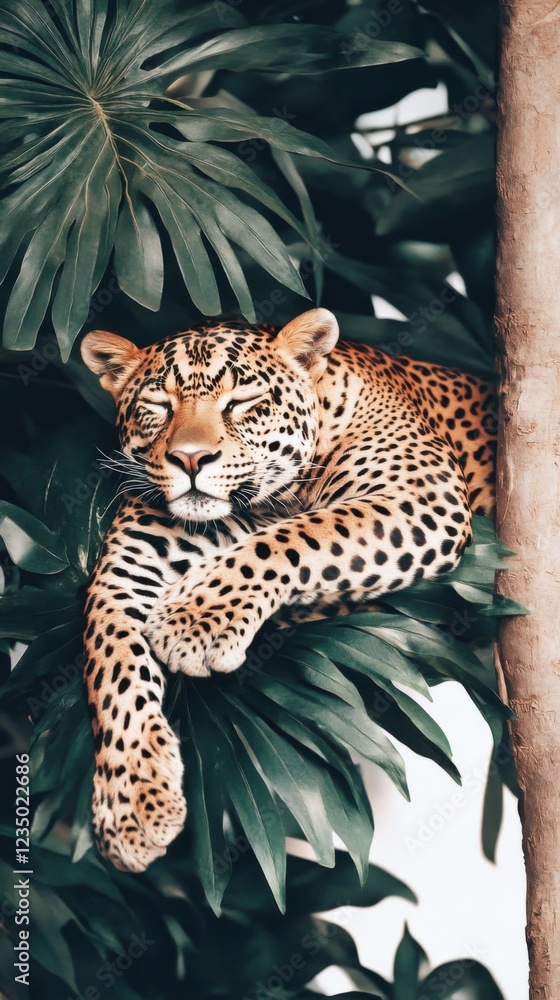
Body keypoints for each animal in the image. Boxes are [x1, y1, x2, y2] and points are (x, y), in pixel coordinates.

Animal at [80, 308, 496, 874]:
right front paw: (132, 802)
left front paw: (193, 622)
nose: (190, 459)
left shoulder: (420, 497)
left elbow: (295, 536)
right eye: (158, 406)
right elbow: (114, 667)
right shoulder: (127, 571)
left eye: (242, 401)